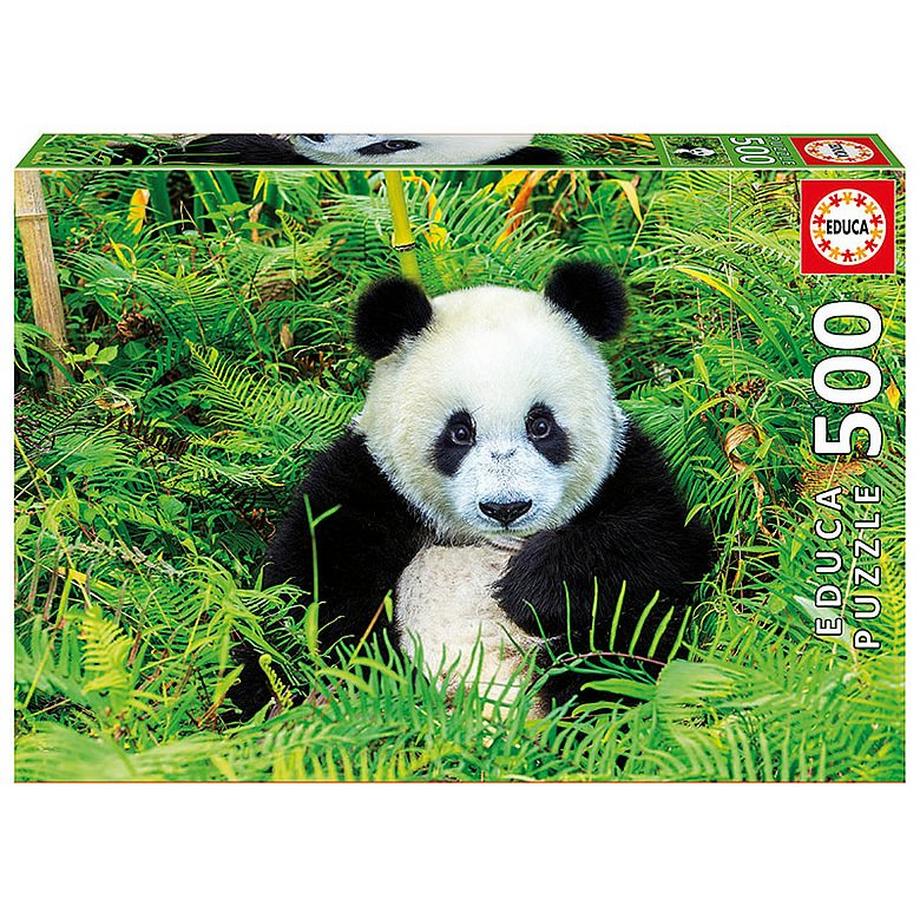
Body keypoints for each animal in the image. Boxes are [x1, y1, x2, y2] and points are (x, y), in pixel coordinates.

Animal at [235, 261, 713, 718]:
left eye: (541, 426)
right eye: (460, 432)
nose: (506, 508)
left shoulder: (627, 470)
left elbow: (660, 547)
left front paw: (529, 586)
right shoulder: (366, 483)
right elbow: (303, 596)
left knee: (615, 656)